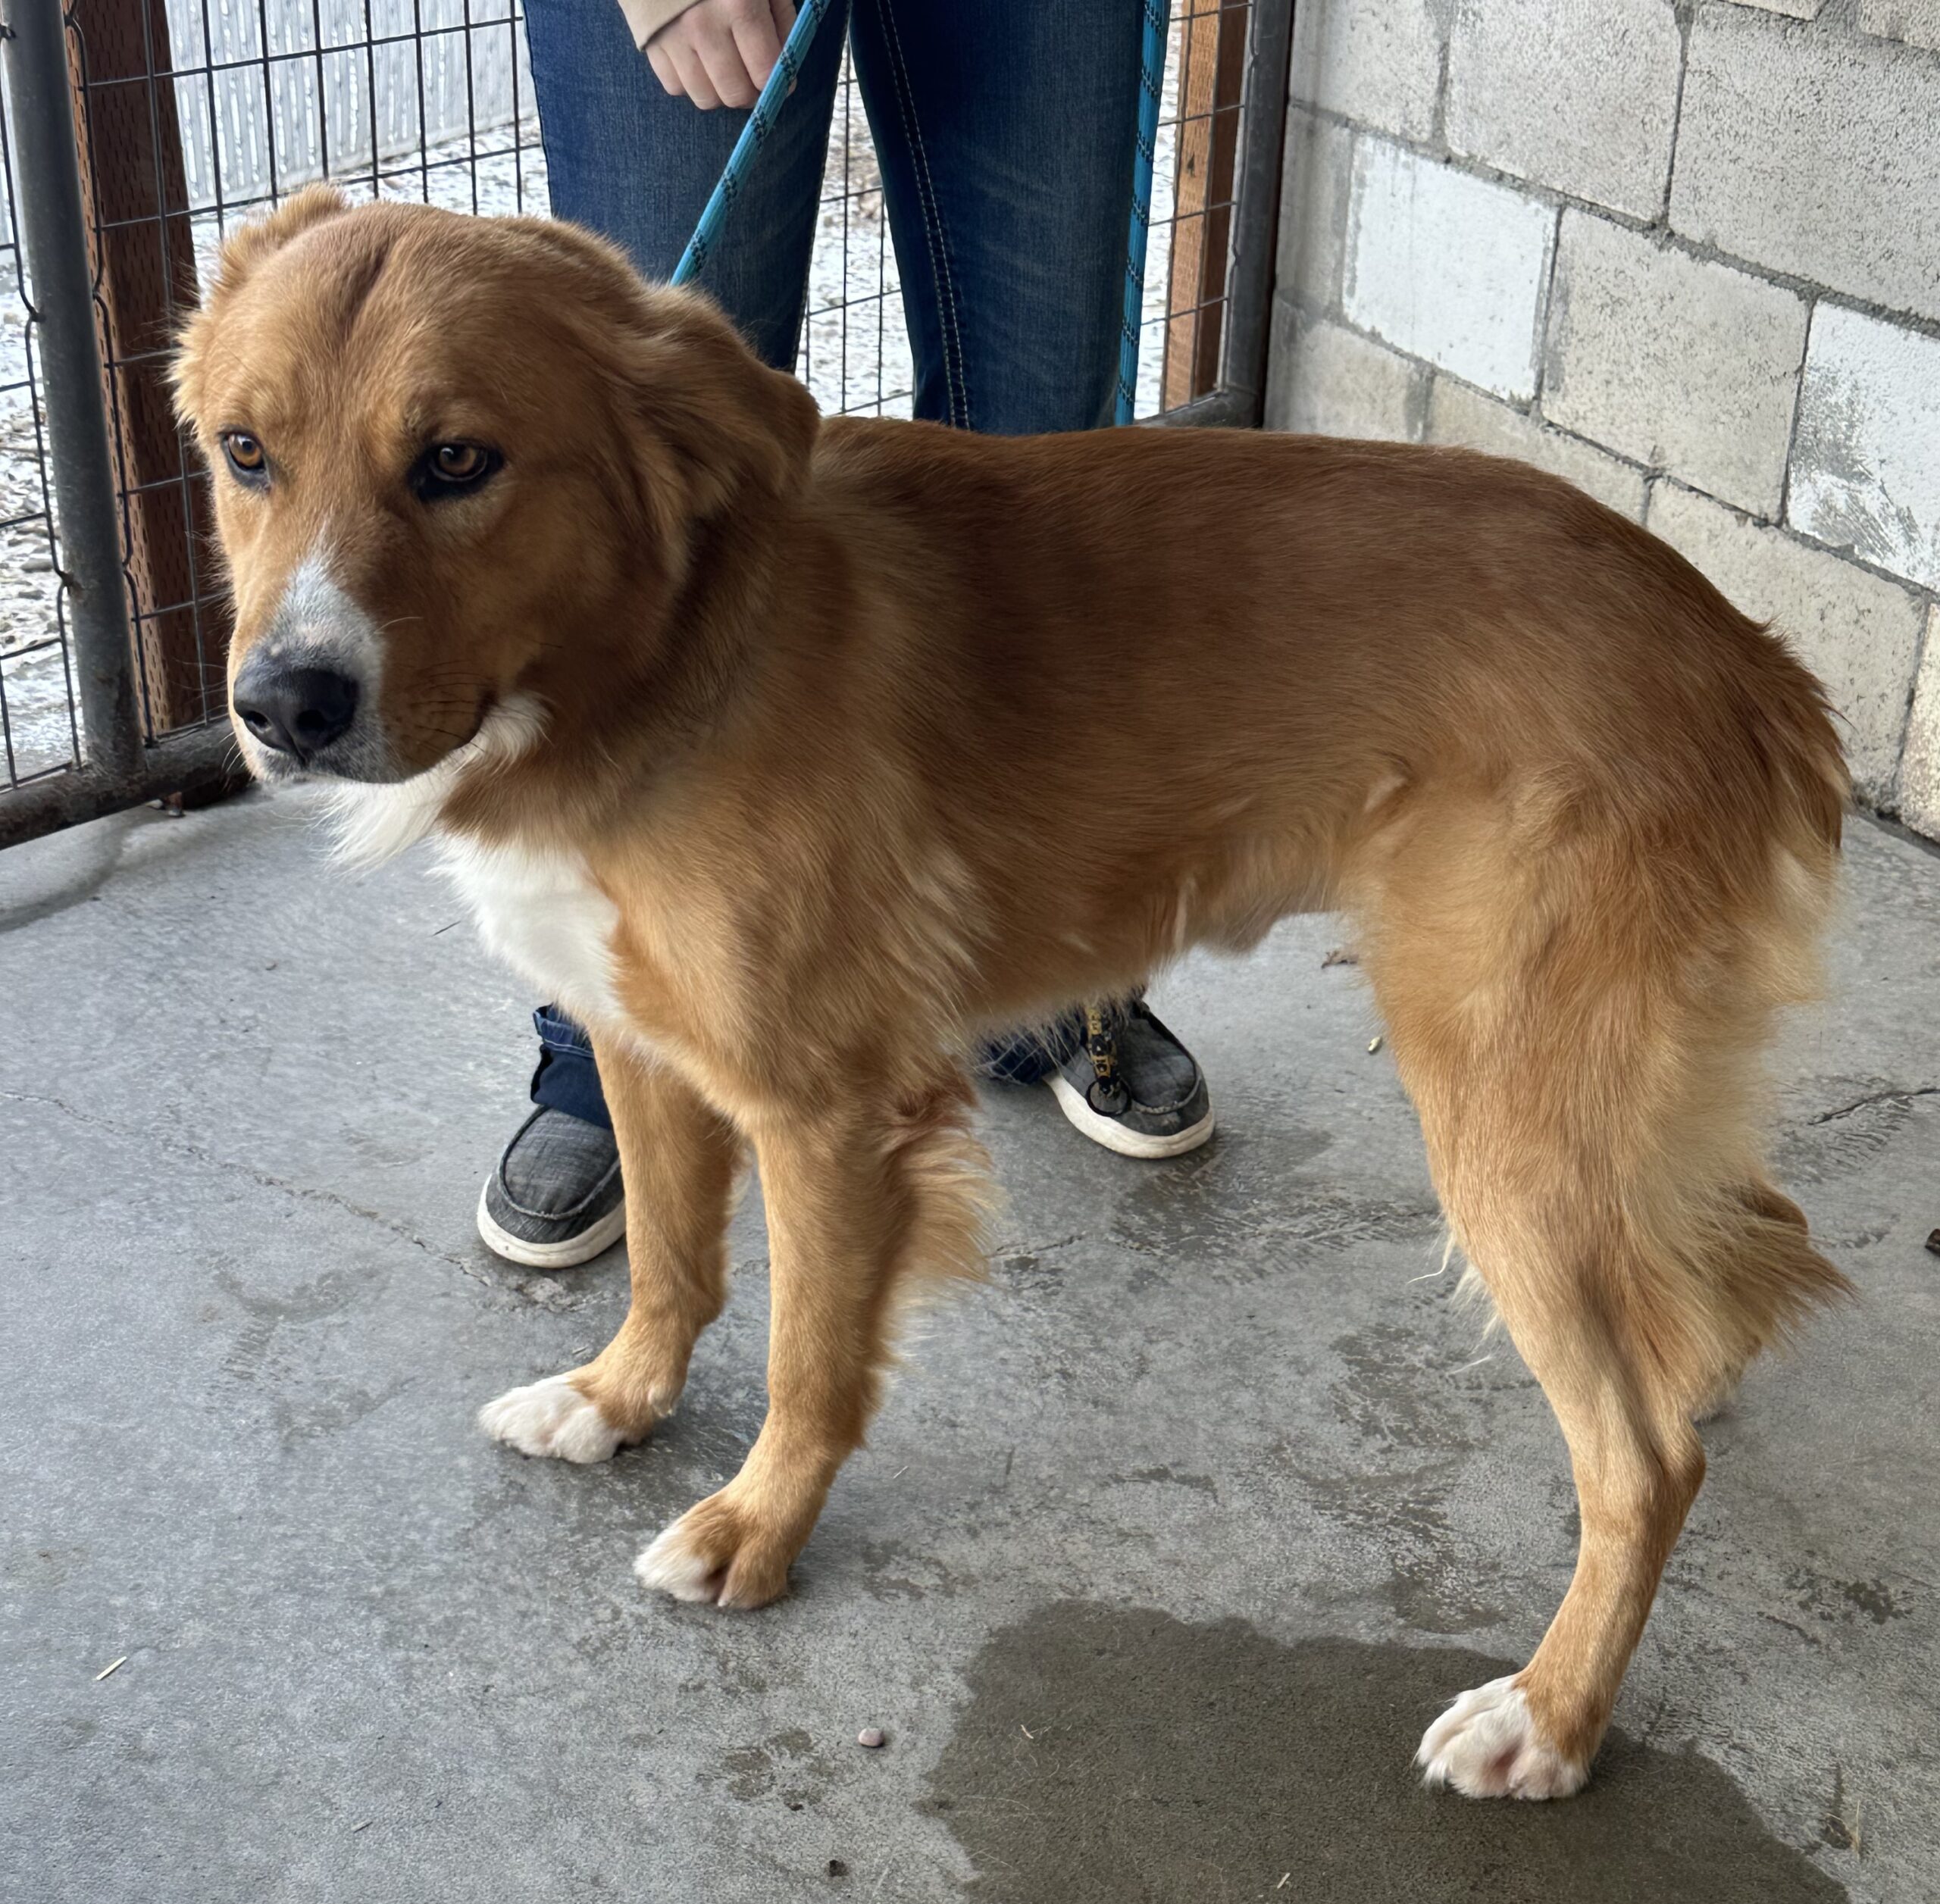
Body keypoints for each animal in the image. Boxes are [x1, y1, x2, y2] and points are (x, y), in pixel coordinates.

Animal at [176, 186, 1850, 1800]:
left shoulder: (828, 1111)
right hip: (1589, 1099)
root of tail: (1736, 645)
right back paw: (1694, 1376)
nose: (282, 709)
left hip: (1503, 1110)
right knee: (1740, 1239)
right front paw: (619, 1397)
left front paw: (753, 1527)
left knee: (1640, 1458)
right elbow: (669, 1262)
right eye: (246, 452)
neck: (654, 658)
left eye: (458, 460)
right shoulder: (639, 1042)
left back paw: (1550, 1713)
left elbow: (804, 1356)